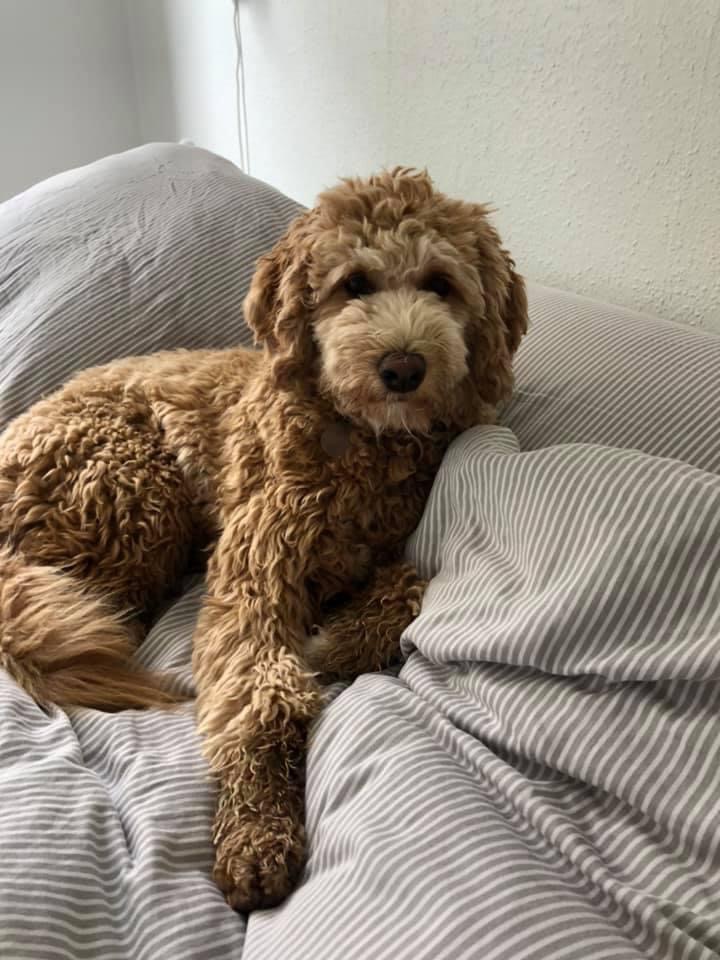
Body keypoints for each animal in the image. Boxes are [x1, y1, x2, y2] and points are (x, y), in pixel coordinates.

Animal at [0, 168, 527, 910]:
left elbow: (410, 581)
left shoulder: (383, 548)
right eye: (353, 284)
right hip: (134, 489)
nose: (402, 367)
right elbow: (261, 698)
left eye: (440, 284)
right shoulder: (255, 571)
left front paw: (341, 640)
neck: (359, 442)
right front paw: (257, 832)